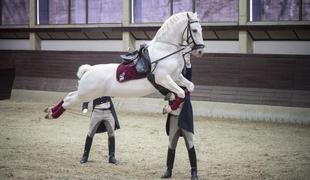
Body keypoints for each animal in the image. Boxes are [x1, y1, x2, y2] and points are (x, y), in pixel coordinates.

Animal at [44, 11, 205, 119]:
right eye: (195, 30)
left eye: (201, 30)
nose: (200, 51)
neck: (166, 49)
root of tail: (88, 70)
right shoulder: (163, 78)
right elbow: (181, 92)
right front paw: (169, 107)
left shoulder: (176, 77)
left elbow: (189, 87)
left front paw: (169, 106)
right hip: (86, 93)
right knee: (69, 100)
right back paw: (52, 114)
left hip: (85, 92)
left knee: (69, 96)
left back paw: (50, 111)